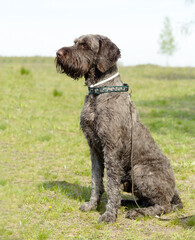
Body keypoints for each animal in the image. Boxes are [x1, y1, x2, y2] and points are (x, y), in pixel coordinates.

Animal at [55, 34, 183, 223]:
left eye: (85, 45)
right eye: (75, 42)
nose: (58, 53)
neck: (98, 94)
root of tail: (174, 191)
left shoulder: (111, 148)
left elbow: (111, 184)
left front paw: (109, 214)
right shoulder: (94, 149)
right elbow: (96, 180)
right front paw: (92, 205)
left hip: (140, 171)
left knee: (163, 206)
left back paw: (138, 212)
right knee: (145, 200)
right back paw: (127, 203)